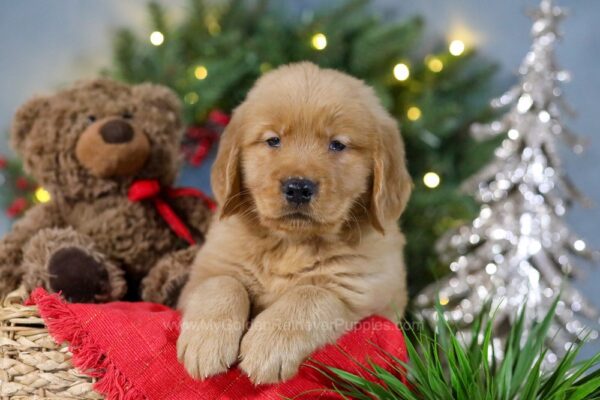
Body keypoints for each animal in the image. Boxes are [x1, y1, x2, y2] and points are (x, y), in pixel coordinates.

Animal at [177, 61, 412, 382]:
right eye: (273, 140)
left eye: (337, 145)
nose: (298, 188)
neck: (291, 244)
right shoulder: (203, 274)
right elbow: (222, 283)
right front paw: (205, 343)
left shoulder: (365, 294)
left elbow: (311, 294)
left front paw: (268, 345)